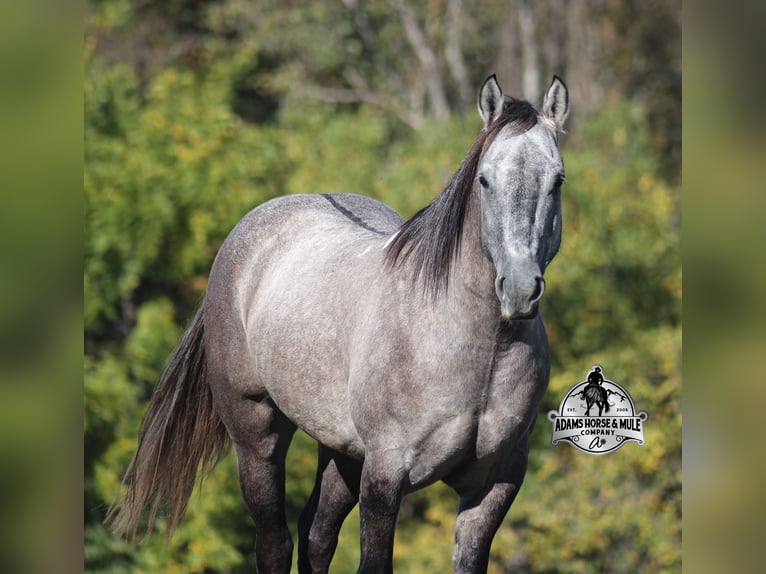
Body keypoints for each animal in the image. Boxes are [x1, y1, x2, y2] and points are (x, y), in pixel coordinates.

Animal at [108, 74, 570, 573]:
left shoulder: (494, 485)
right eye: (485, 179)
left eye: (557, 180)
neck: (472, 348)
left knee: (316, 535)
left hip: (342, 452)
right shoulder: (385, 476)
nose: (519, 289)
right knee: (275, 541)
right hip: (257, 436)